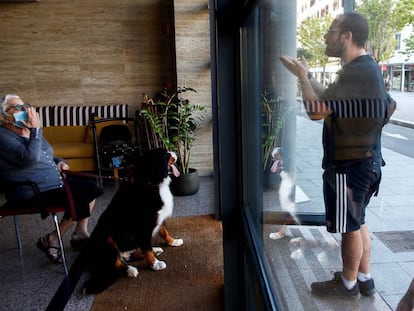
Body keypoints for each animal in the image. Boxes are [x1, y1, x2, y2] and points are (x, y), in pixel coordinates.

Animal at [82, 149, 183, 294]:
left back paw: (155, 249)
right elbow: (147, 249)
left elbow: (164, 232)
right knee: (117, 263)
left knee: (133, 253)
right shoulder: (144, 226)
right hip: (107, 240)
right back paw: (130, 269)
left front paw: (173, 241)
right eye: (166, 155)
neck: (150, 182)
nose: (176, 152)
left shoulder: (158, 218)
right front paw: (155, 264)